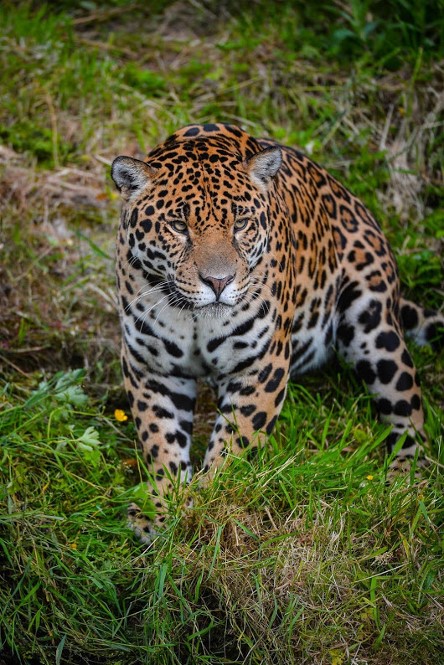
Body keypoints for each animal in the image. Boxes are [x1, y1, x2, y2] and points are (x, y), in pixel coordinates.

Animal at [111, 122, 443, 542]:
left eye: (240, 225)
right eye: (178, 226)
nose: (218, 281)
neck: (195, 318)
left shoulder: (260, 366)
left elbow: (233, 444)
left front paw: (205, 502)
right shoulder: (152, 368)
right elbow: (160, 438)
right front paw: (161, 505)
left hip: (374, 325)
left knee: (411, 412)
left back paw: (403, 484)